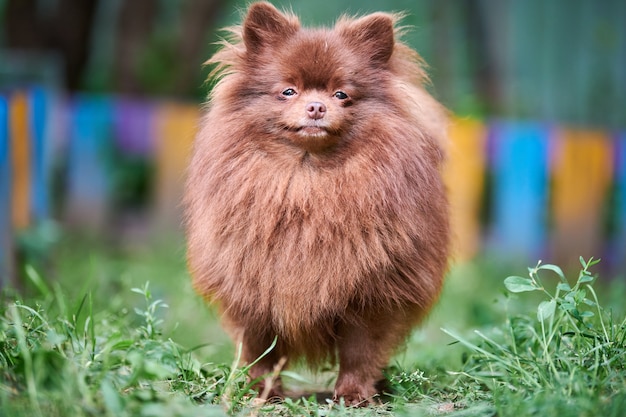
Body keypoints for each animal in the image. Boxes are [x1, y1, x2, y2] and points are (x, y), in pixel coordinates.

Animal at [184, 1, 448, 406]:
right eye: (288, 91)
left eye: (341, 94)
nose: (315, 107)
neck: (308, 180)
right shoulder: (251, 287)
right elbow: (260, 349)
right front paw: (260, 392)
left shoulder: (372, 295)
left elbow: (360, 350)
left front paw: (354, 395)